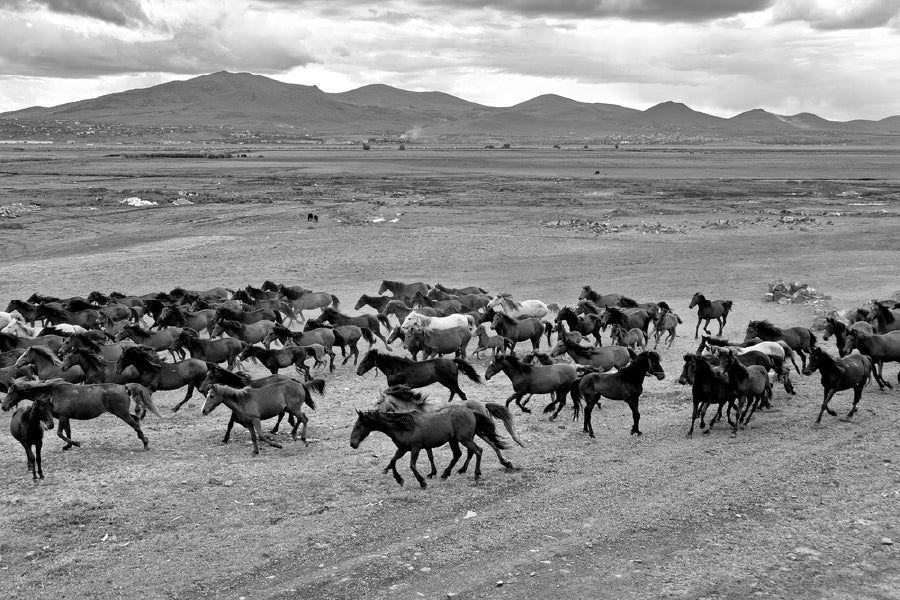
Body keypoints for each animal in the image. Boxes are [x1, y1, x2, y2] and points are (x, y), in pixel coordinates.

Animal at [1, 378, 158, 448]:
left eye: (11, 392)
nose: (3, 406)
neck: (52, 393)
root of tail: (124, 387)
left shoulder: (62, 417)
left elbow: (60, 433)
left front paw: (75, 443)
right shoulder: (65, 418)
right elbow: (67, 431)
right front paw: (68, 446)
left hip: (122, 414)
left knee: (135, 424)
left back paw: (145, 443)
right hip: (122, 413)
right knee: (136, 420)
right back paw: (143, 438)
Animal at [350, 408, 506, 488]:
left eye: (358, 426)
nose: (352, 444)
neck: (402, 427)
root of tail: (471, 412)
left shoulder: (415, 448)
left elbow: (412, 465)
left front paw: (422, 482)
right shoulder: (402, 449)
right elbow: (393, 461)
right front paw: (399, 479)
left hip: (465, 439)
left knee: (478, 451)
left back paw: (476, 475)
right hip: (455, 440)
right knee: (459, 454)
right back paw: (445, 474)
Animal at [358, 350, 486, 400]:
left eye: (366, 360)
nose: (358, 371)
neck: (396, 368)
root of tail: (452, 361)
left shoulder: (397, 386)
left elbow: (390, 392)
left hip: (451, 381)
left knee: (461, 394)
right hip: (444, 381)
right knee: (454, 391)